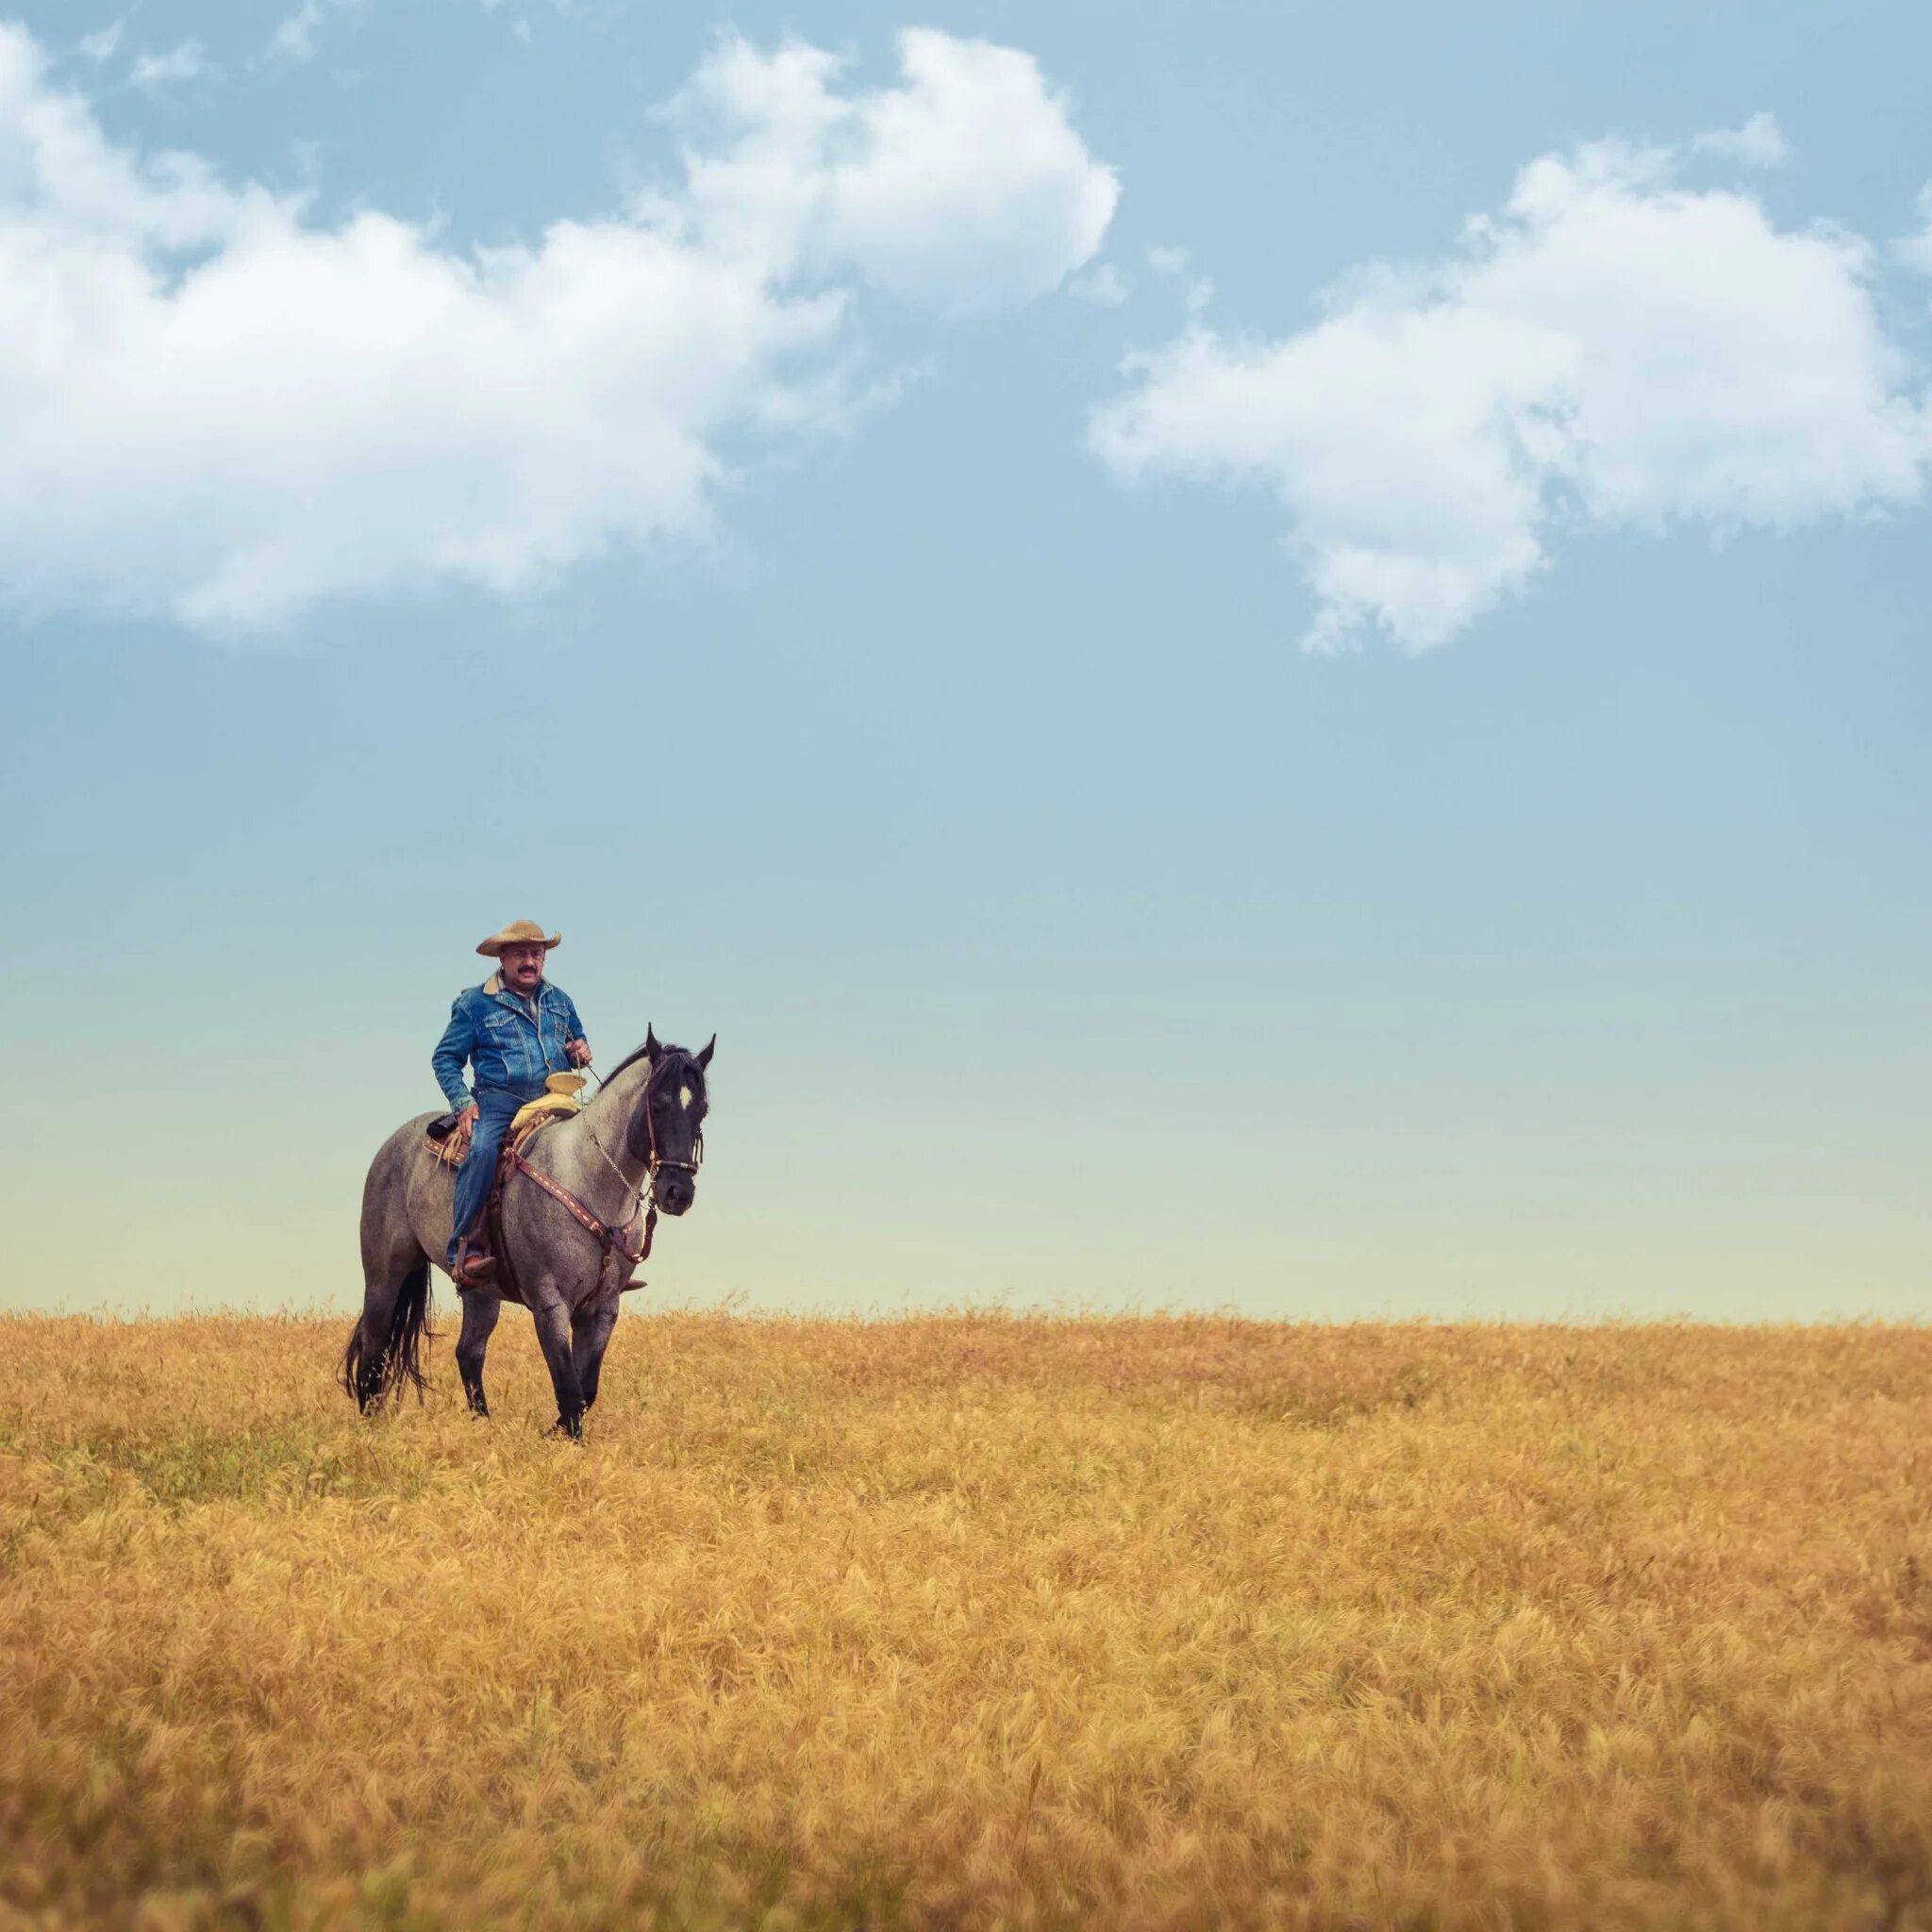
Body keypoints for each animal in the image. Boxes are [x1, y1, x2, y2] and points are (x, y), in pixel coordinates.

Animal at [341, 1027, 718, 1437]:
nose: (677, 1192)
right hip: (384, 1275)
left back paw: (482, 1425)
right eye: (659, 1104)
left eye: (701, 1110)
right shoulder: (549, 1303)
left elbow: (586, 1390)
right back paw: (370, 1424)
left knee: (468, 1352)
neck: (587, 1179)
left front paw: (554, 1433)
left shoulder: (603, 1310)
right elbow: (569, 1389)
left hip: (481, 1291)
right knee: (374, 1346)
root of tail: (393, 1146)